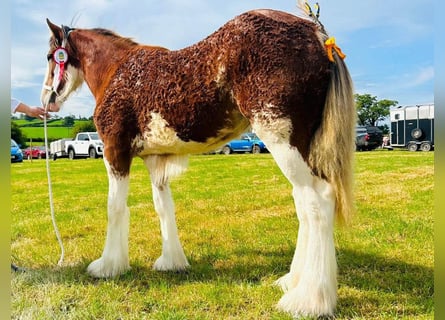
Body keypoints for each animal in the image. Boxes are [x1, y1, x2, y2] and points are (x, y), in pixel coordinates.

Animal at [40, 4, 354, 318]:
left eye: (50, 56)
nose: (47, 100)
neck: (117, 71)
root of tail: (316, 33)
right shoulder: (155, 161)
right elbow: (164, 208)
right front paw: (171, 261)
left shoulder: (115, 152)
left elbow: (115, 208)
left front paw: (108, 266)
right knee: (303, 203)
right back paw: (293, 281)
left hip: (282, 140)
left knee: (319, 200)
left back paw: (308, 300)